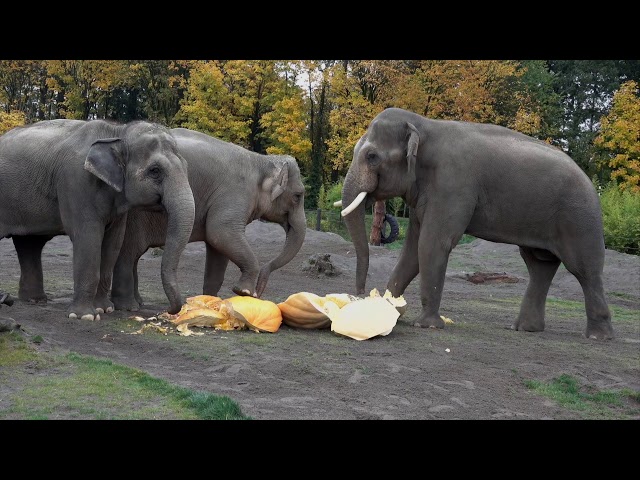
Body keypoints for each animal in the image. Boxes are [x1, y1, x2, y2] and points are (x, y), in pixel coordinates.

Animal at [0, 119, 195, 320]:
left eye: (186, 167)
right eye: (155, 171)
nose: (168, 311)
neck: (117, 131)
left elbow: (113, 243)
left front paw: (104, 309)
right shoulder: (76, 183)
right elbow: (88, 238)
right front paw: (84, 316)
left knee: (29, 244)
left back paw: (35, 300)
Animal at [107, 126, 308, 312]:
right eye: (298, 196)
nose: (259, 293)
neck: (262, 161)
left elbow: (217, 250)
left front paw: (210, 301)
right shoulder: (234, 195)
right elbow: (220, 232)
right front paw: (243, 292)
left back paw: (137, 303)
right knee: (129, 252)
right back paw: (129, 307)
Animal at [340, 109, 616, 342]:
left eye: (372, 157)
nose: (361, 292)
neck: (424, 125)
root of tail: (592, 183)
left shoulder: (453, 185)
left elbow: (433, 243)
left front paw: (426, 325)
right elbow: (412, 250)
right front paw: (390, 310)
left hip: (580, 219)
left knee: (584, 270)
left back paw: (598, 337)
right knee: (539, 265)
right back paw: (525, 329)